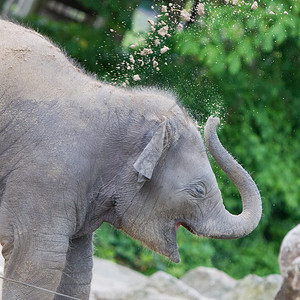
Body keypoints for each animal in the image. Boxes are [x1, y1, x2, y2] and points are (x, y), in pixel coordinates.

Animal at [0, 19, 262, 298]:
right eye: (199, 190)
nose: (216, 118)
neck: (120, 103)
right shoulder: (48, 174)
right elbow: (39, 259)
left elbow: (78, 269)